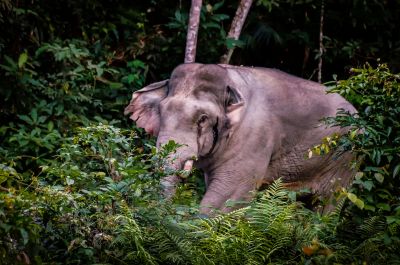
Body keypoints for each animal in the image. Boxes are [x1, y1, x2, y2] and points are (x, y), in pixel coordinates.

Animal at [125, 63, 356, 212]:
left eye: (203, 118)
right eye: (161, 111)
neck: (231, 76)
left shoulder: (254, 138)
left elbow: (228, 195)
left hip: (345, 159)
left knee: (328, 205)